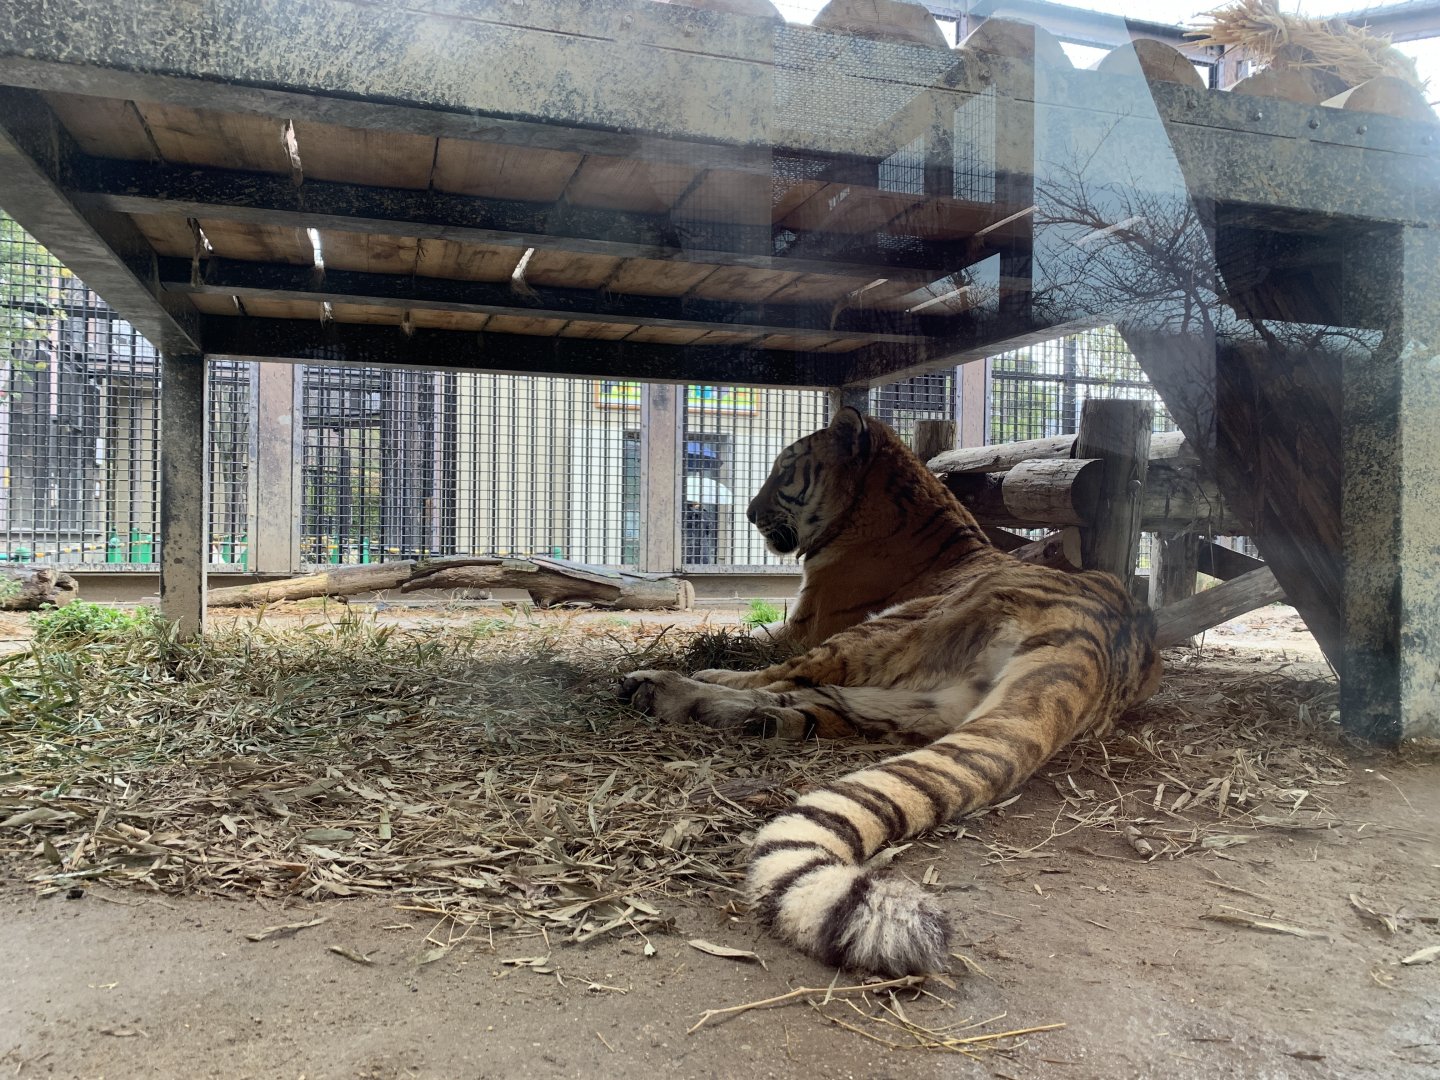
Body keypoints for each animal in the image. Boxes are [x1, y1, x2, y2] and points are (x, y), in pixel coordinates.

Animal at [619, 406, 1163, 976]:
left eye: (785, 468)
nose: (747, 512)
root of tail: (1099, 637)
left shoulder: (805, 626)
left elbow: (750, 642)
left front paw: (695, 654)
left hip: (889, 631)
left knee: (782, 680)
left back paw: (666, 682)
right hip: (915, 702)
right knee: (803, 707)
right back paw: (705, 705)